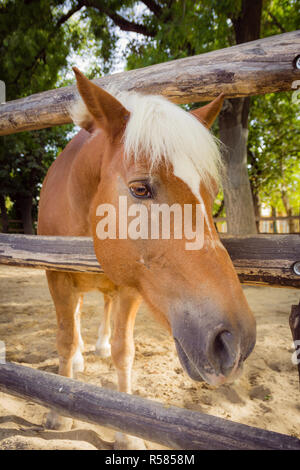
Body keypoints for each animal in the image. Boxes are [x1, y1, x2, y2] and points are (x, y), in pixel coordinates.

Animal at [37, 68, 255, 450]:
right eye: (140, 189)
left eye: (212, 192)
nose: (235, 342)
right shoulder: (57, 275)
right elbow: (64, 339)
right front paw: (57, 411)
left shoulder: (131, 287)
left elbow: (124, 351)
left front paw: (126, 433)